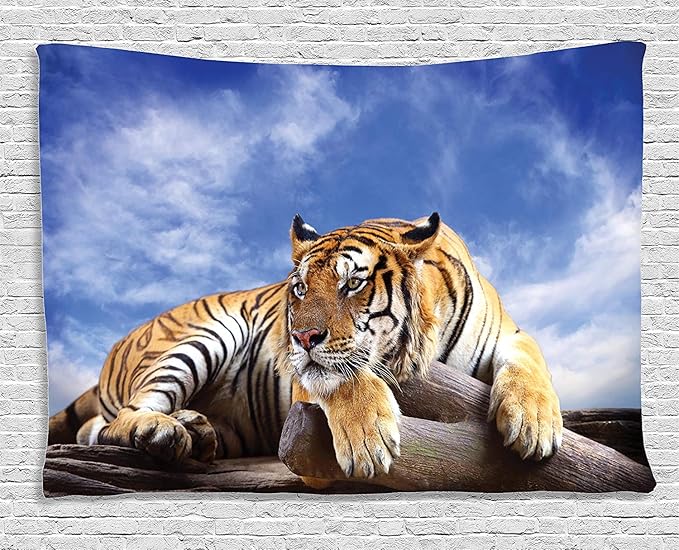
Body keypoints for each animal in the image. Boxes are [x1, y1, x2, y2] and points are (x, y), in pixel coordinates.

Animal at [49, 213, 563, 480]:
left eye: (352, 283)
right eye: (298, 289)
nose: (300, 337)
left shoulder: (509, 335)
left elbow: (531, 360)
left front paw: (534, 424)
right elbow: (341, 376)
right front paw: (368, 442)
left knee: (95, 427)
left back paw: (196, 429)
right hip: (202, 337)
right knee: (121, 419)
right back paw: (164, 431)